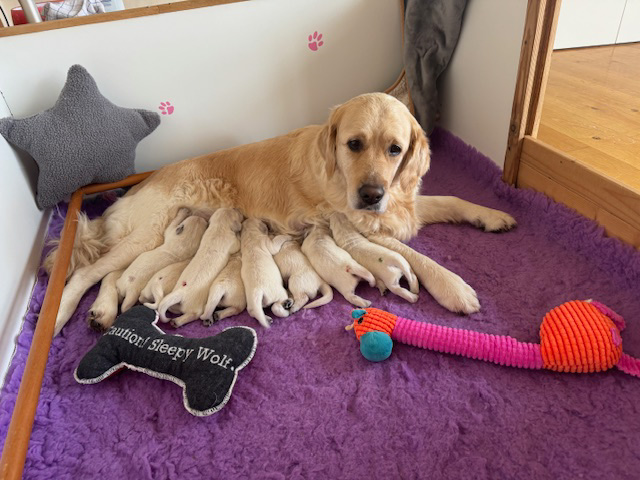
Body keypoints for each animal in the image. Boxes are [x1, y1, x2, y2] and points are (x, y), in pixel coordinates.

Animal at [51, 92, 516, 334]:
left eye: (395, 149)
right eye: (354, 144)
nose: (370, 194)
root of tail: (139, 183)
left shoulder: (397, 204)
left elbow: (451, 200)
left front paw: (492, 214)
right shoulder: (358, 224)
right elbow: (418, 257)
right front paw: (455, 288)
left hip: (148, 239)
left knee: (114, 276)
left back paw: (103, 311)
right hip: (150, 230)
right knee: (85, 273)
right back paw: (60, 316)